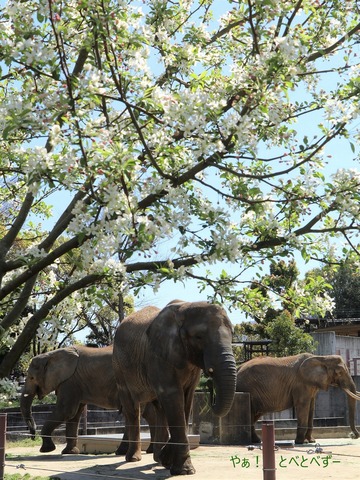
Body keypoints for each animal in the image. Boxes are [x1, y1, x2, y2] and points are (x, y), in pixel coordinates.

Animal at [20, 344, 156, 454]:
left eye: (31, 378)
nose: (32, 436)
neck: (51, 354)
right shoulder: (75, 383)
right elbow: (74, 416)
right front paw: (70, 452)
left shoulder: (70, 381)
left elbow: (65, 411)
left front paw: (46, 450)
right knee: (148, 414)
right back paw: (146, 451)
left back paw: (122, 452)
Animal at [112, 302, 236, 474]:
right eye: (199, 337)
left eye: (232, 335)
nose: (210, 384)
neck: (186, 307)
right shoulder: (159, 356)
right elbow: (173, 397)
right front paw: (184, 471)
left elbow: (186, 401)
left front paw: (167, 460)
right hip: (119, 368)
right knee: (133, 408)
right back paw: (134, 458)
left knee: (159, 408)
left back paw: (158, 461)